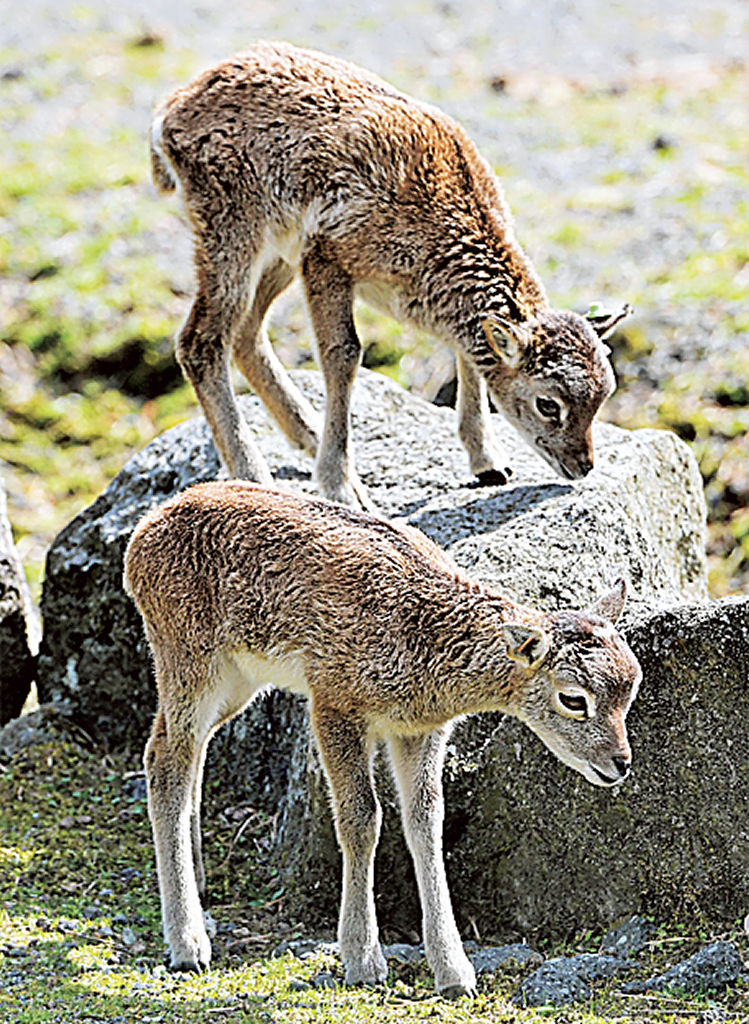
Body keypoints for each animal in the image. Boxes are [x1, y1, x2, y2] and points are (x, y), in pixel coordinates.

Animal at [126, 481, 643, 999]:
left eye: (632, 686)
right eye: (574, 698)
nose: (619, 762)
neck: (421, 646)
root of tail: (141, 539)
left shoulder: (419, 730)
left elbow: (426, 822)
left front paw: (455, 973)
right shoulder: (333, 703)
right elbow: (362, 818)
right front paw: (363, 959)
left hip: (238, 681)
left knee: (185, 749)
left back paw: (200, 888)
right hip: (188, 658)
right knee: (164, 760)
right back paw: (189, 943)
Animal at [149, 43, 631, 507]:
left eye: (604, 395)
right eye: (548, 403)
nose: (583, 465)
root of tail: (169, 113)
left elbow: (467, 358)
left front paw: (489, 464)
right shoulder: (327, 259)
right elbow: (344, 355)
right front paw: (343, 488)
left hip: (278, 255)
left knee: (247, 334)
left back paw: (307, 435)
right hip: (233, 234)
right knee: (201, 341)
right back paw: (254, 474)